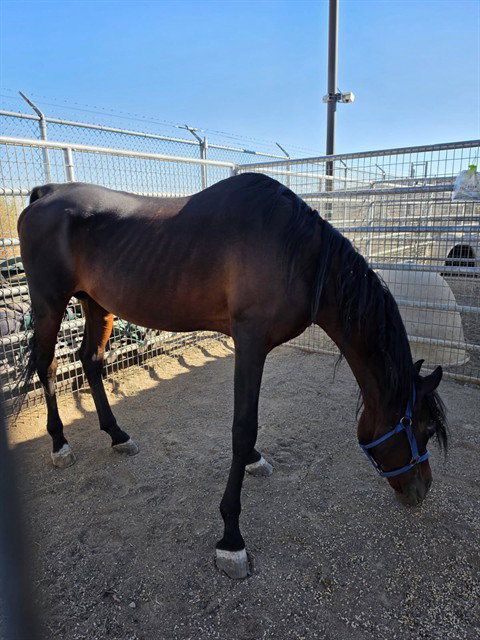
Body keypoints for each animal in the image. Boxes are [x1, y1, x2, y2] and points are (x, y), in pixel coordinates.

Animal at [17, 172, 448, 579]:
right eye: (425, 428)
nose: (422, 490)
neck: (297, 253)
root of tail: (46, 193)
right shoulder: (250, 342)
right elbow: (243, 429)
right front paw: (231, 539)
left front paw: (255, 464)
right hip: (49, 304)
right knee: (47, 365)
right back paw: (60, 444)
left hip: (96, 303)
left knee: (90, 361)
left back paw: (117, 434)